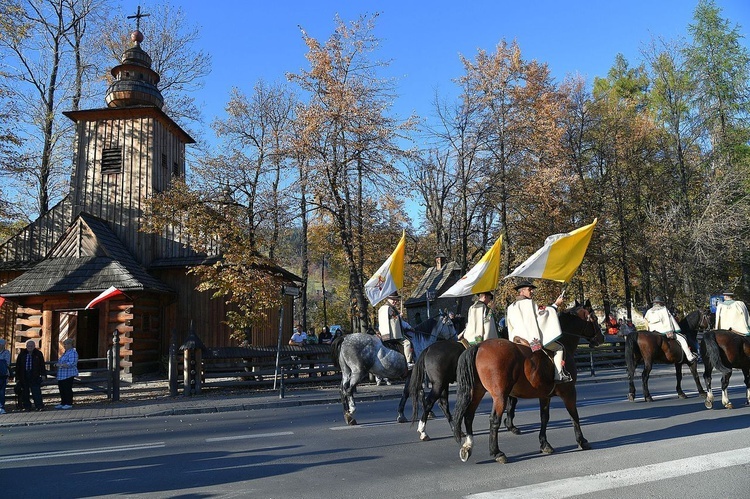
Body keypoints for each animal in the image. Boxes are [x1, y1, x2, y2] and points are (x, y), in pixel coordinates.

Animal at [452, 302, 604, 466]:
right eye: (594, 318)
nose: (601, 337)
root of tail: (479, 346)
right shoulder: (569, 392)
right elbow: (573, 416)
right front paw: (582, 441)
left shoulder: (545, 396)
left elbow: (544, 417)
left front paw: (545, 444)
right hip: (500, 396)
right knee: (494, 420)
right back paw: (497, 452)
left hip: (478, 392)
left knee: (468, 416)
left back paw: (468, 447)